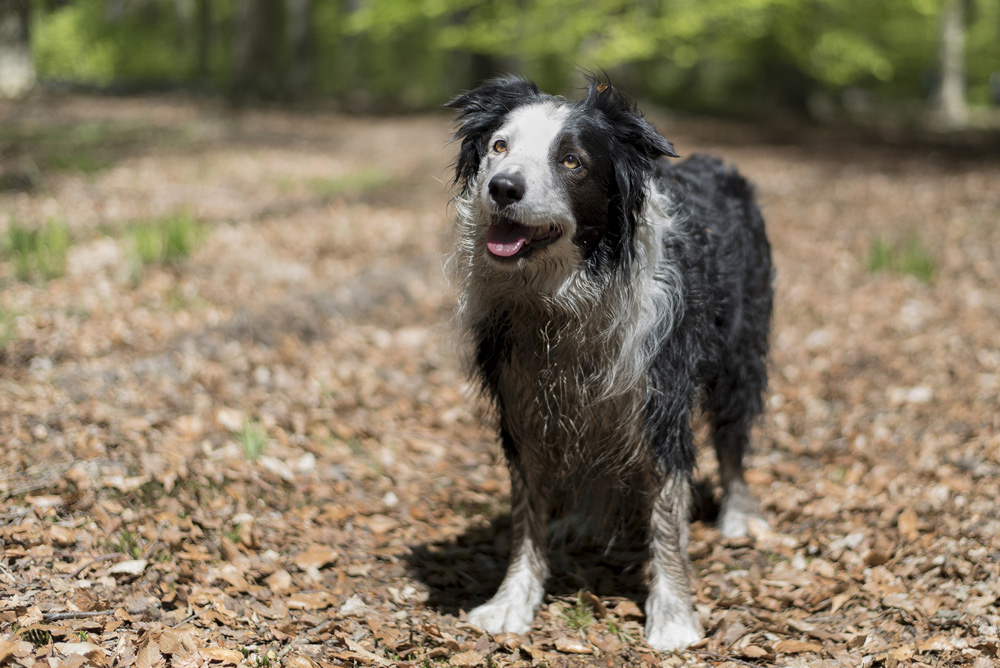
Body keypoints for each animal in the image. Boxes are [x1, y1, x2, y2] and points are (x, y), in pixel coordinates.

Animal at [446, 74, 772, 652]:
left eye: (571, 160)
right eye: (499, 147)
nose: (503, 187)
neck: (562, 297)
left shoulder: (659, 391)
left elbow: (667, 516)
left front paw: (673, 616)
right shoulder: (521, 395)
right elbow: (526, 512)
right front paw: (511, 602)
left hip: (740, 352)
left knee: (732, 435)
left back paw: (738, 515)